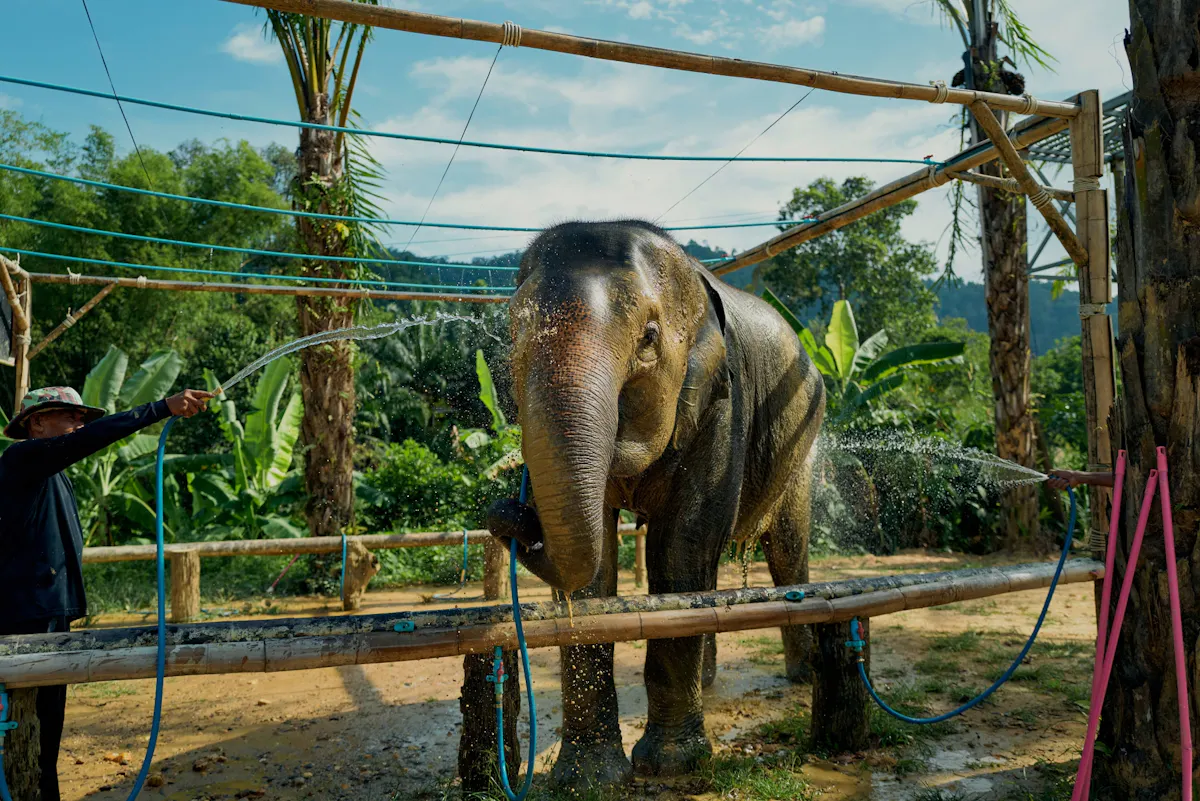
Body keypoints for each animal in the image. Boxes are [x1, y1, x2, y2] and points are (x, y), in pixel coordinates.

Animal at [487, 220, 825, 789]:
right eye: (512, 333)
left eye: (648, 338)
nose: (506, 513)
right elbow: (597, 564)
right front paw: (587, 778)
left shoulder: (721, 401)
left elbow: (682, 544)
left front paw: (671, 766)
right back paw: (708, 682)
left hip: (803, 443)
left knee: (785, 548)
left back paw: (803, 676)